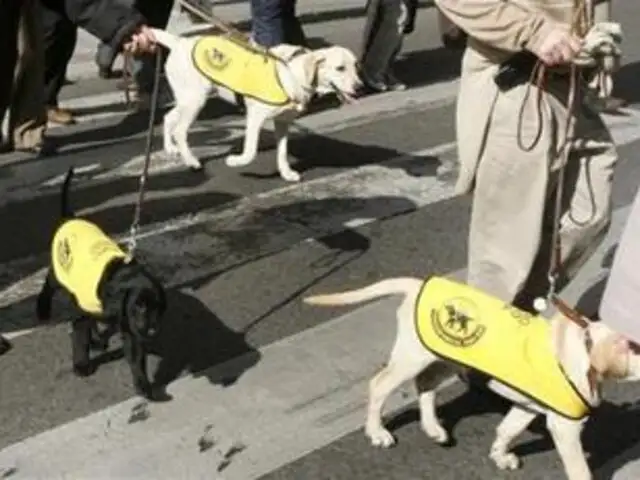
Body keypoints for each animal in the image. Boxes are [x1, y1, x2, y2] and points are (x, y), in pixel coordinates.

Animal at [36, 169, 168, 402]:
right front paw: (81, 365)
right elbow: (79, 338)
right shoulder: (86, 314)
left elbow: (135, 356)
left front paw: (143, 386)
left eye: (159, 308)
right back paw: (42, 309)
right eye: (140, 306)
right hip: (59, 274)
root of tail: (70, 219)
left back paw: (97, 339)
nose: (152, 331)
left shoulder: (129, 324)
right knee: (48, 287)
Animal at [149, 28, 360, 182]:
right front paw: (235, 161)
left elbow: (282, 151)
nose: (360, 86)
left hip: (188, 99)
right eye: (340, 68)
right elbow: (250, 152)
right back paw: (191, 161)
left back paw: (171, 148)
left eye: (356, 65)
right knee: (180, 131)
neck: (293, 73)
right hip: (195, 100)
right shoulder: (254, 118)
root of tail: (179, 42)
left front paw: (286, 173)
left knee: (168, 118)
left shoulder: (282, 122)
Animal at [304, 278, 640, 480]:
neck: (585, 345)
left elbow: (506, 429)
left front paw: (500, 456)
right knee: (379, 385)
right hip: (412, 357)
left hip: (445, 359)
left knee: (425, 385)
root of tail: (417, 285)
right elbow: (580, 469)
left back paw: (433, 428)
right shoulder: (564, 427)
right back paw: (377, 432)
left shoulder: (528, 406)